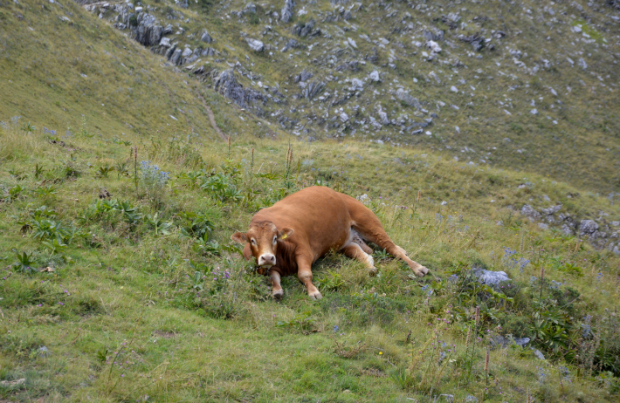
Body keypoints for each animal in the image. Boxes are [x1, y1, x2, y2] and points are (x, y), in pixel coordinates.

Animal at [230, 187, 428, 300]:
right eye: (252, 240)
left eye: (275, 238)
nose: (267, 257)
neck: (282, 255)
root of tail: (341, 194)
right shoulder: (272, 267)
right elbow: (273, 277)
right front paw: (277, 291)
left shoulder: (304, 251)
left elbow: (304, 274)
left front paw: (313, 292)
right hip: (344, 241)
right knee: (361, 252)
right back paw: (370, 267)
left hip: (370, 223)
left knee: (393, 249)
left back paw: (418, 268)